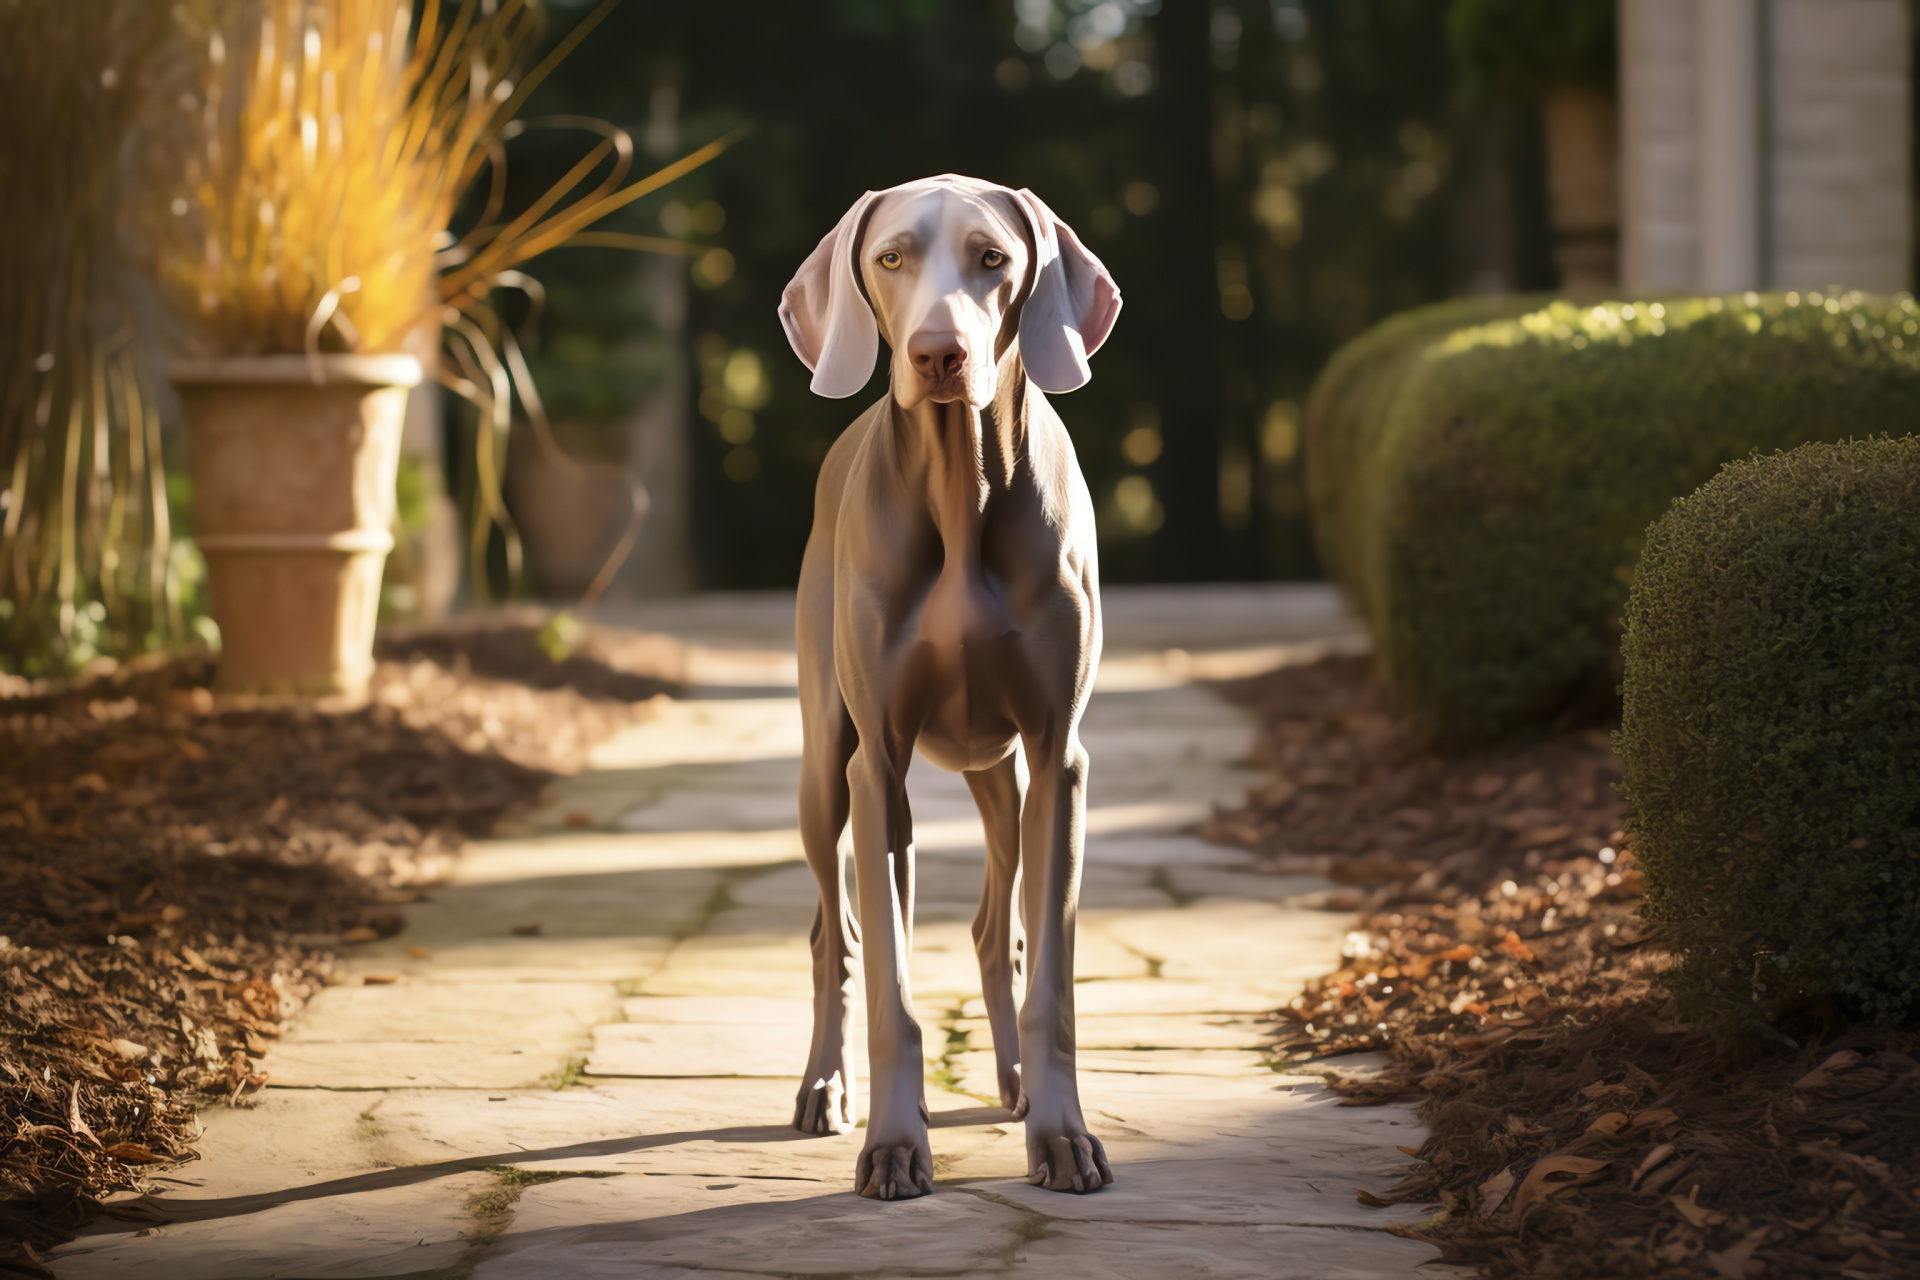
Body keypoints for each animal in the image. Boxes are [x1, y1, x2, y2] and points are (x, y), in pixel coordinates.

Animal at [771, 172, 1121, 1205]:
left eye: (992, 257)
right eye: (891, 257)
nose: (938, 353)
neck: (962, 488)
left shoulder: (1058, 757)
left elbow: (1051, 975)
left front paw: (1060, 1133)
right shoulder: (878, 767)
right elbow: (889, 980)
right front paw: (894, 1144)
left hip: (1003, 775)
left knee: (994, 925)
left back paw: (1011, 1081)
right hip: (825, 769)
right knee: (836, 932)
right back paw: (825, 1088)